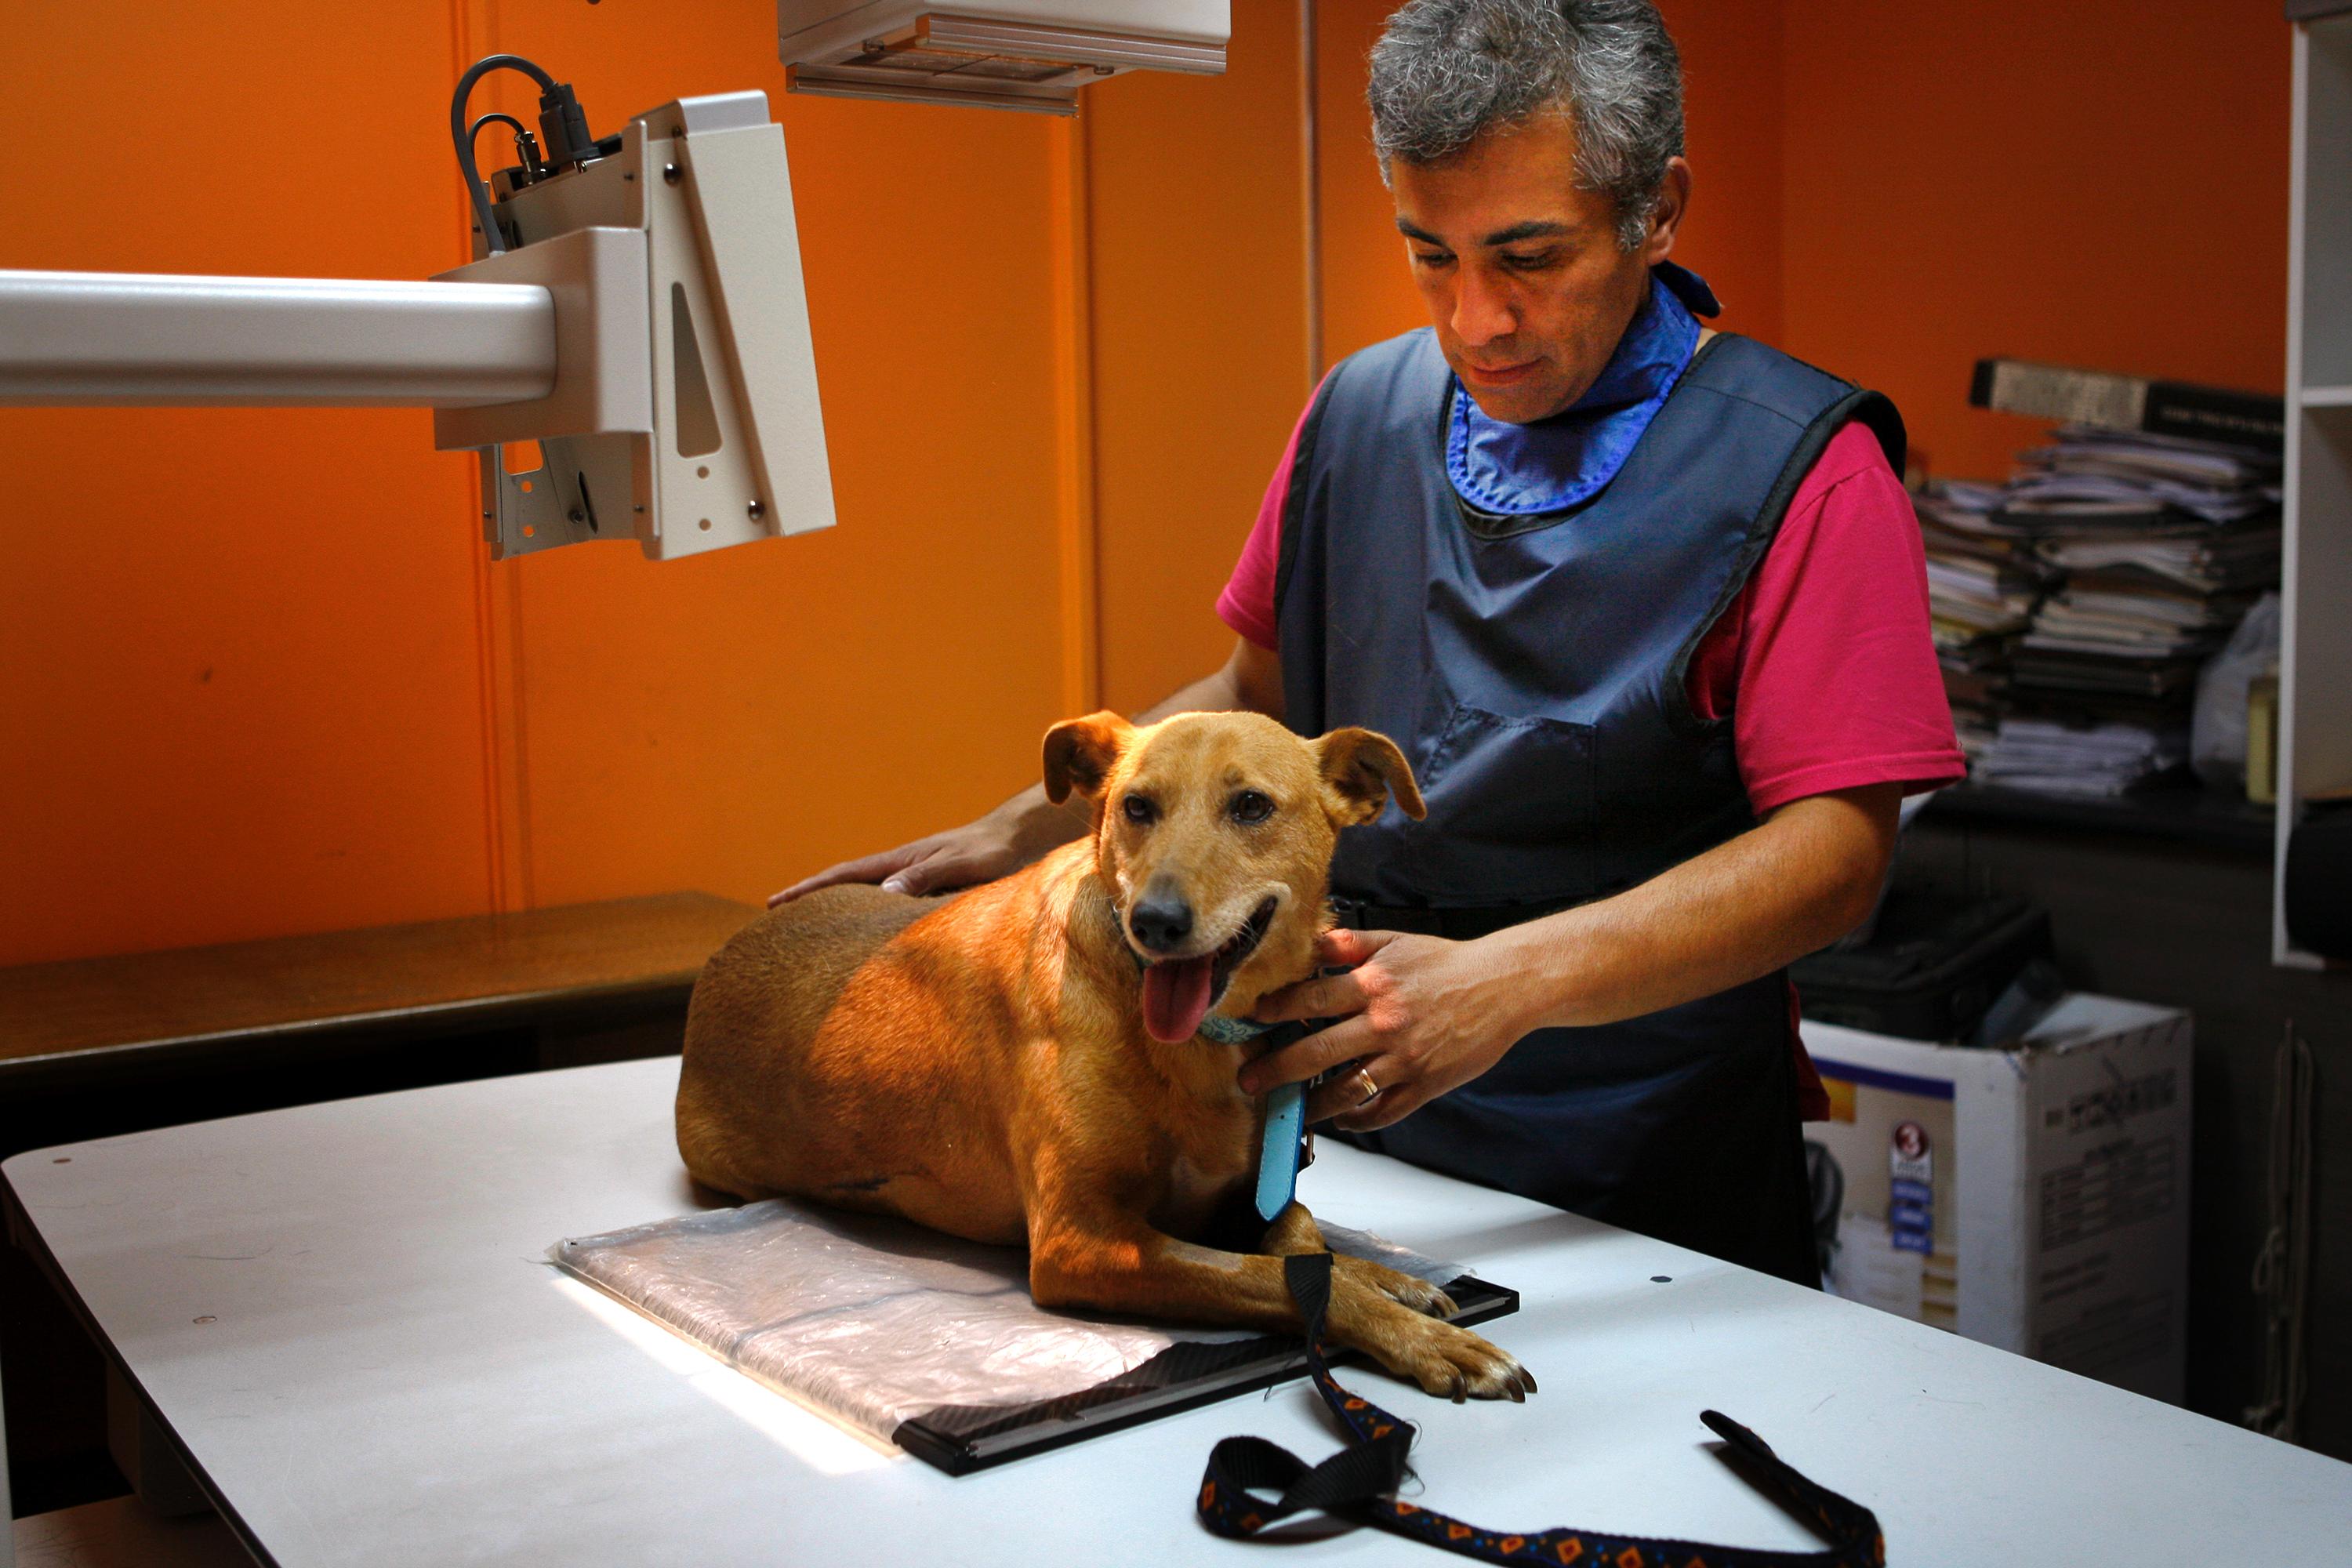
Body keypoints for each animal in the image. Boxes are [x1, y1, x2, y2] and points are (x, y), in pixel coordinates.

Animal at [673, 710, 1534, 1401]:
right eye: (1136, 806)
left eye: (1251, 805)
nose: (1156, 920)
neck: (1204, 1044)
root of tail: (722, 953)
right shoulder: (1080, 1240)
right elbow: (1276, 1274)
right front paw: (1422, 1337)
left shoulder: (1249, 1196)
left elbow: (1306, 1242)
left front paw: (1393, 1283)